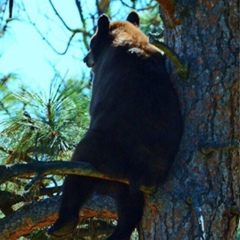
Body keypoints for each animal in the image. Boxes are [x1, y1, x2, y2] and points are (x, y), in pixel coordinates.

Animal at [48, 12, 184, 240]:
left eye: (92, 41)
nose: (85, 58)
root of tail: (141, 169)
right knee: (130, 205)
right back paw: (117, 233)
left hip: (102, 149)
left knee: (78, 173)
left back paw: (62, 224)